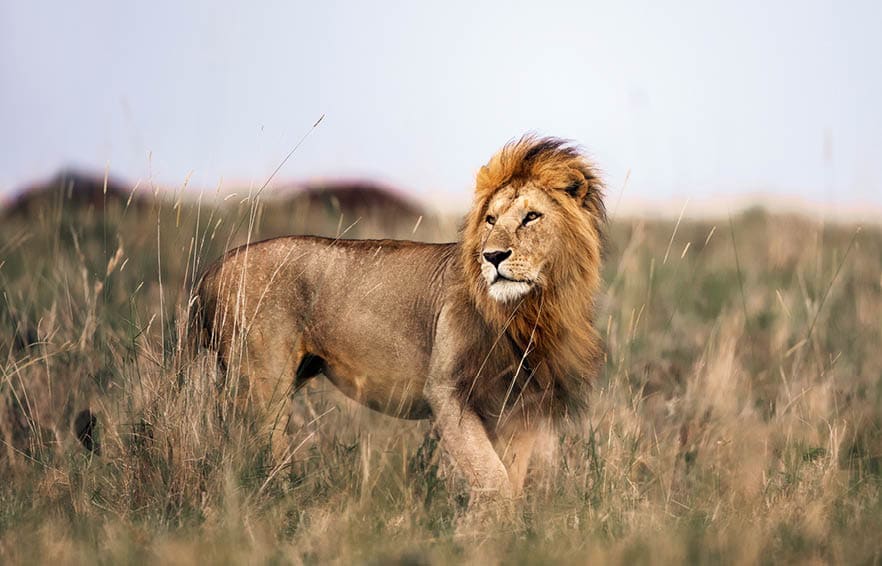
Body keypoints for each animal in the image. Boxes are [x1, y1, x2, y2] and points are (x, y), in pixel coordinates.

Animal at [193, 135, 606, 499]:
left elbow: (511, 478)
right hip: (263, 384)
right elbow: (492, 477)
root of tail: (214, 269)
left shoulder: (523, 406)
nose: (492, 256)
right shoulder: (446, 390)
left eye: (531, 217)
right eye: (490, 220)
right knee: (257, 450)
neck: (532, 309)